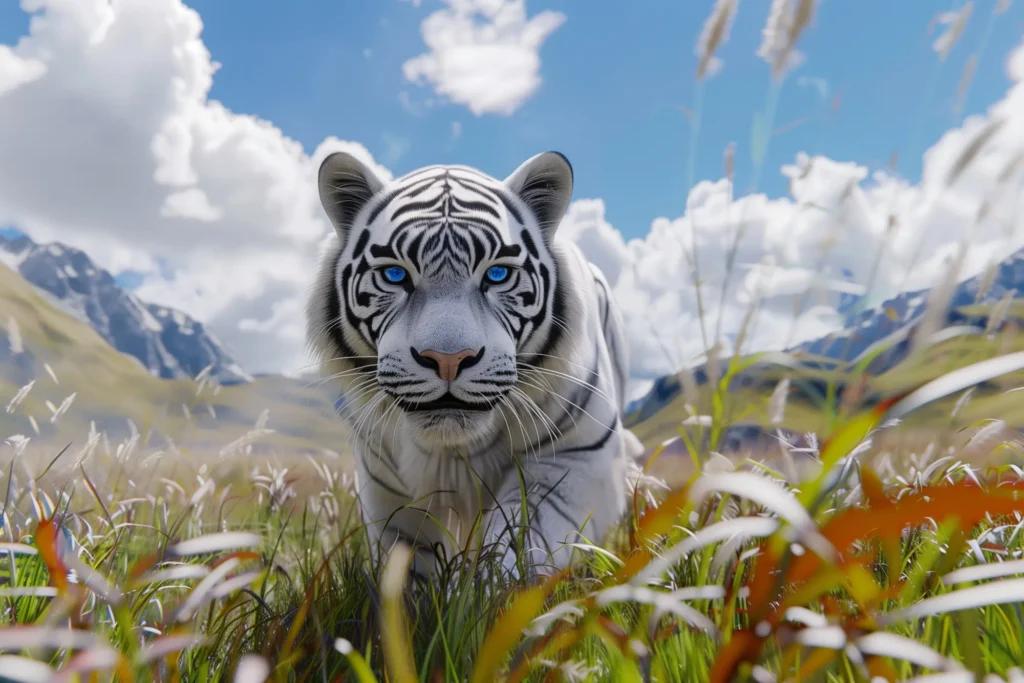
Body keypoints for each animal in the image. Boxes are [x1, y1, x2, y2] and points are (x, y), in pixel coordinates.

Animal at [307, 150, 651, 581]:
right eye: (395, 274)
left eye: (497, 274)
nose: (448, 360)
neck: (453, 450)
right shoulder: (387, 487)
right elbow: (406, 565)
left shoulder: (577, 457)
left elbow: (518, 539)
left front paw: (493, 593)